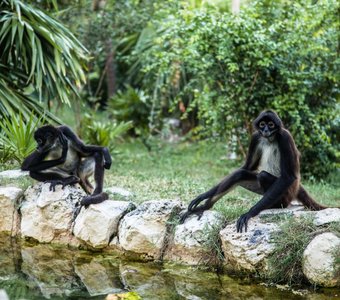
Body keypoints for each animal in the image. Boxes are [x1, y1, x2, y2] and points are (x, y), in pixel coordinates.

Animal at [179, 110, 328, 232]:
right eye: (262, 124)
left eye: (271, 125)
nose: (266, 130)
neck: (269, 139)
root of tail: (297, 187)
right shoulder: (256, 136)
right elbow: (246, 168)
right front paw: (203, 196)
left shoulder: (285, 137)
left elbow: (288, 176)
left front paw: (250, 213)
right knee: (240, 174)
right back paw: (204, 207)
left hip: (286, 194)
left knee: (263, 175)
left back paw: (275, 205)